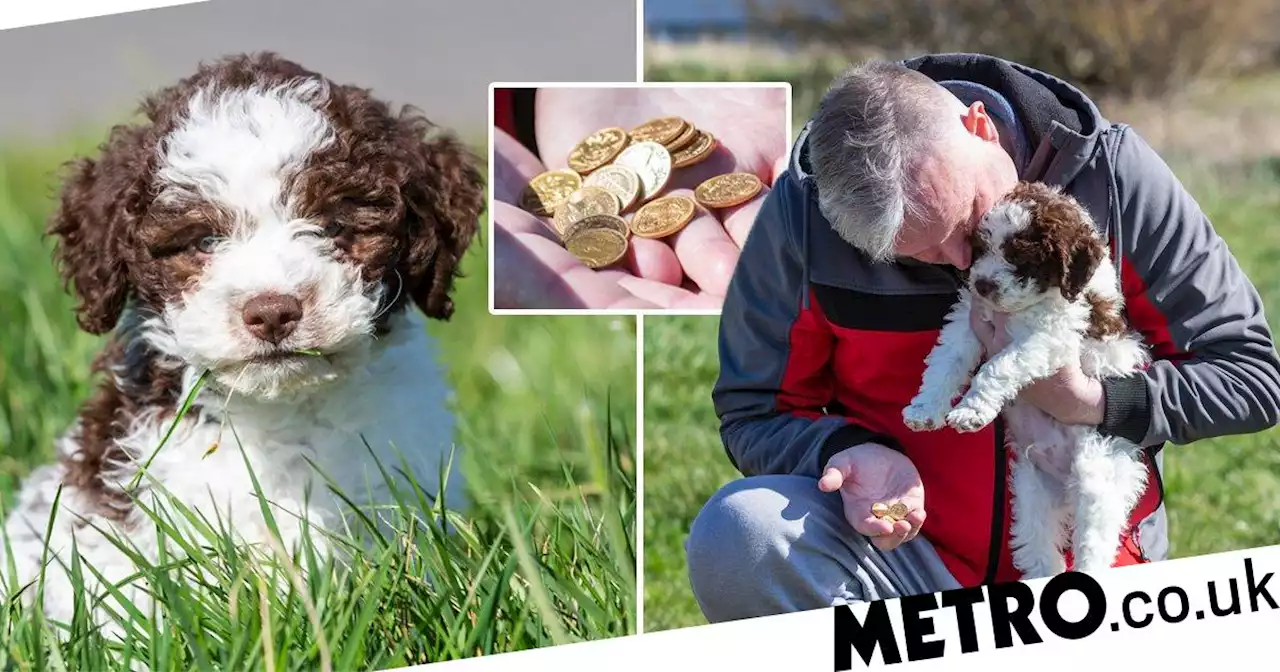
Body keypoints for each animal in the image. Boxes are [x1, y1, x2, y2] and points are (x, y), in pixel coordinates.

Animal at [906, 181, 1157, 576]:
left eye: (1022, 259)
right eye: (982, 248)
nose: (982, 284)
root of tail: (1065, 483)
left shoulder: (1049, 337)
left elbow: (997, 367)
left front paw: (970, 412)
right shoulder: (969, 319)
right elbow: (947, 360)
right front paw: (925, 409)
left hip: (1099, 475)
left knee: (1095, 540)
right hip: (1031, 491)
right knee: (1038, 549)